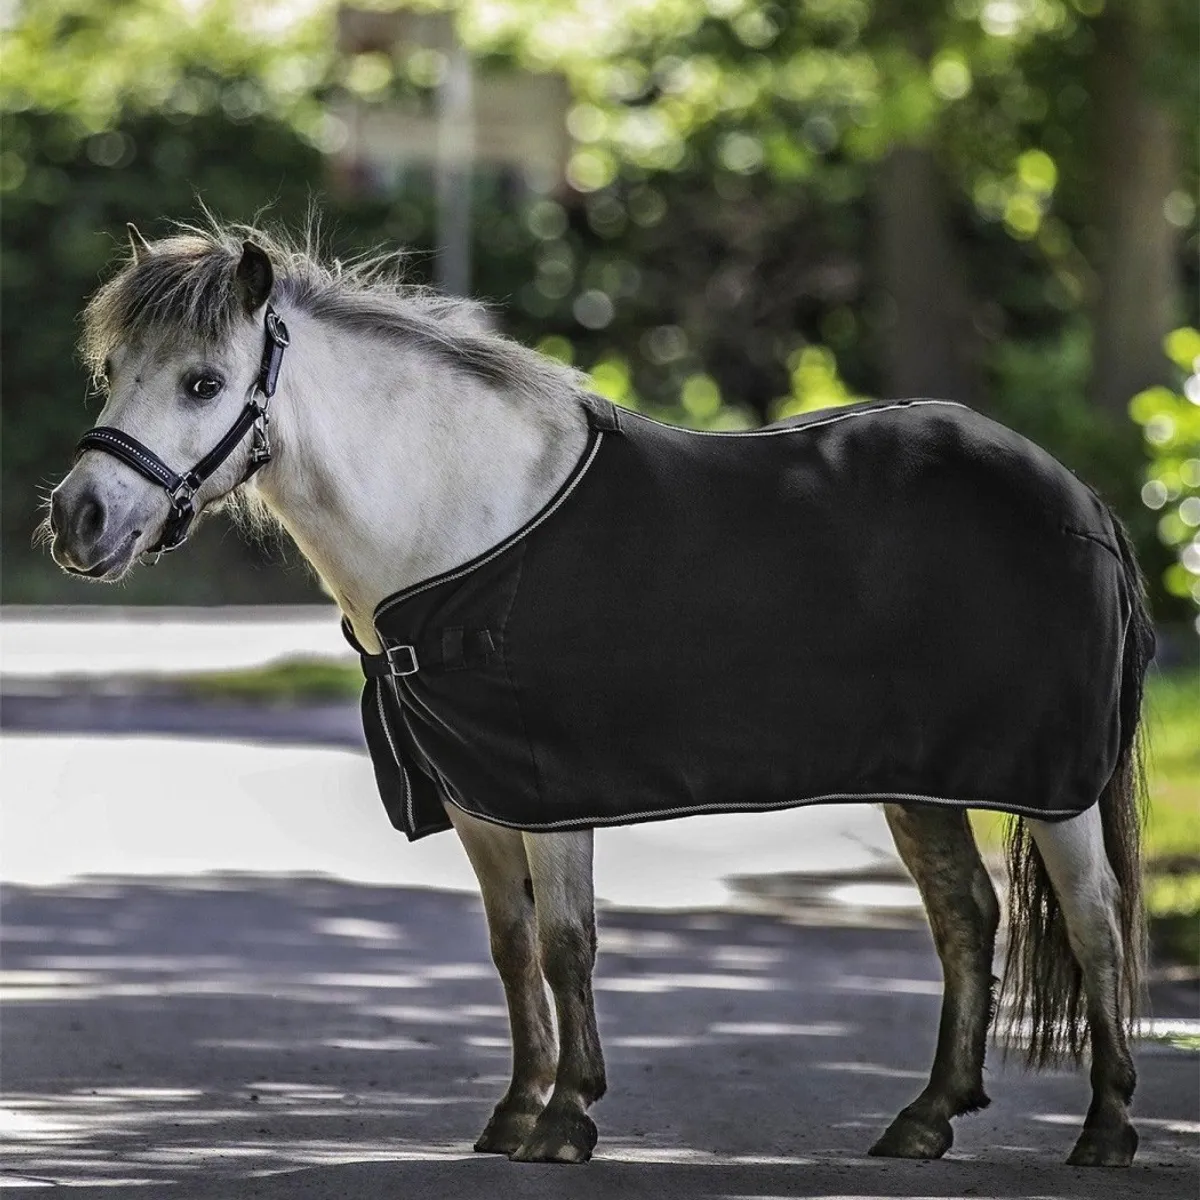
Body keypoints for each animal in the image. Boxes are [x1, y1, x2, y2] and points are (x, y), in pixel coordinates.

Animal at [46, 220, 1152, 1166]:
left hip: (1054, 785)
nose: (78, 520)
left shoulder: (548, 790)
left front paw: (568, 1117)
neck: (460, 520)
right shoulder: (479, 797)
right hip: (922, 783)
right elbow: (511, 947)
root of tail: (1081, 497)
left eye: (203, 381)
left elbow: (567, 945)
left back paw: (1105, 1130)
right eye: (113, 373)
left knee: (1097, 921)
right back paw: (925, 1120)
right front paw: (514, 1111)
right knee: (966, 915)